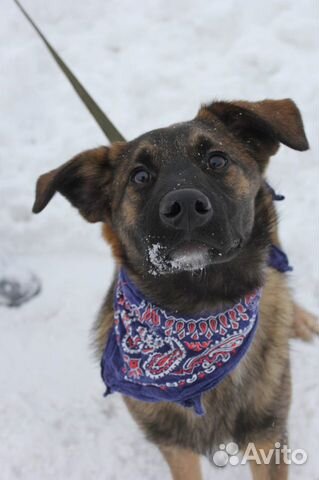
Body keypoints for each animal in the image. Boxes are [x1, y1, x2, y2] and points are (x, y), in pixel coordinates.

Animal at [32, 98, 318, 480]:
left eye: (217, 160)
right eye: (140, 176)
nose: (185, 207)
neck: (200, 309)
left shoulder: (267, 435)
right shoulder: (173, 444)